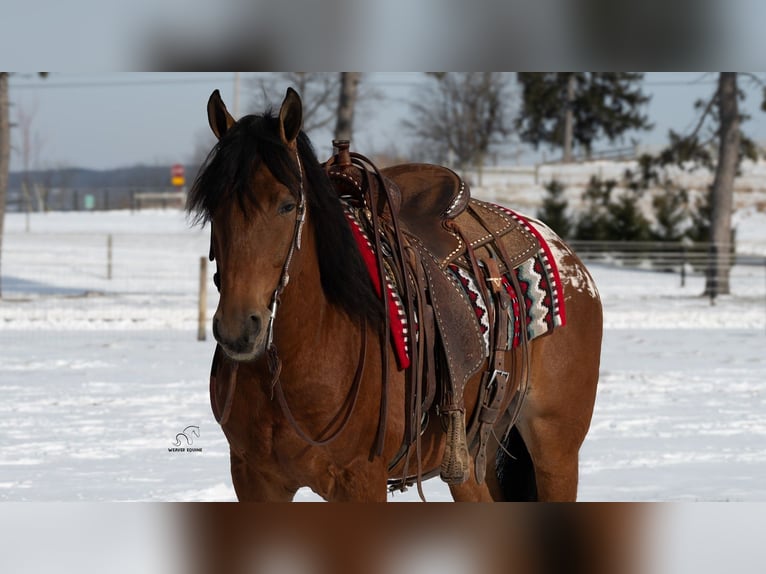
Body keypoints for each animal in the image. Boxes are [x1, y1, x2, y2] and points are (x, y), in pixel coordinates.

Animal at [187, 88, 602, 502]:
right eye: (212, 207)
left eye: (287, 205)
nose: (239, 329)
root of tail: (568, 257)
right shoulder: (255, 479)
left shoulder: (360, 480)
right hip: (471, 463)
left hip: (555, 450)